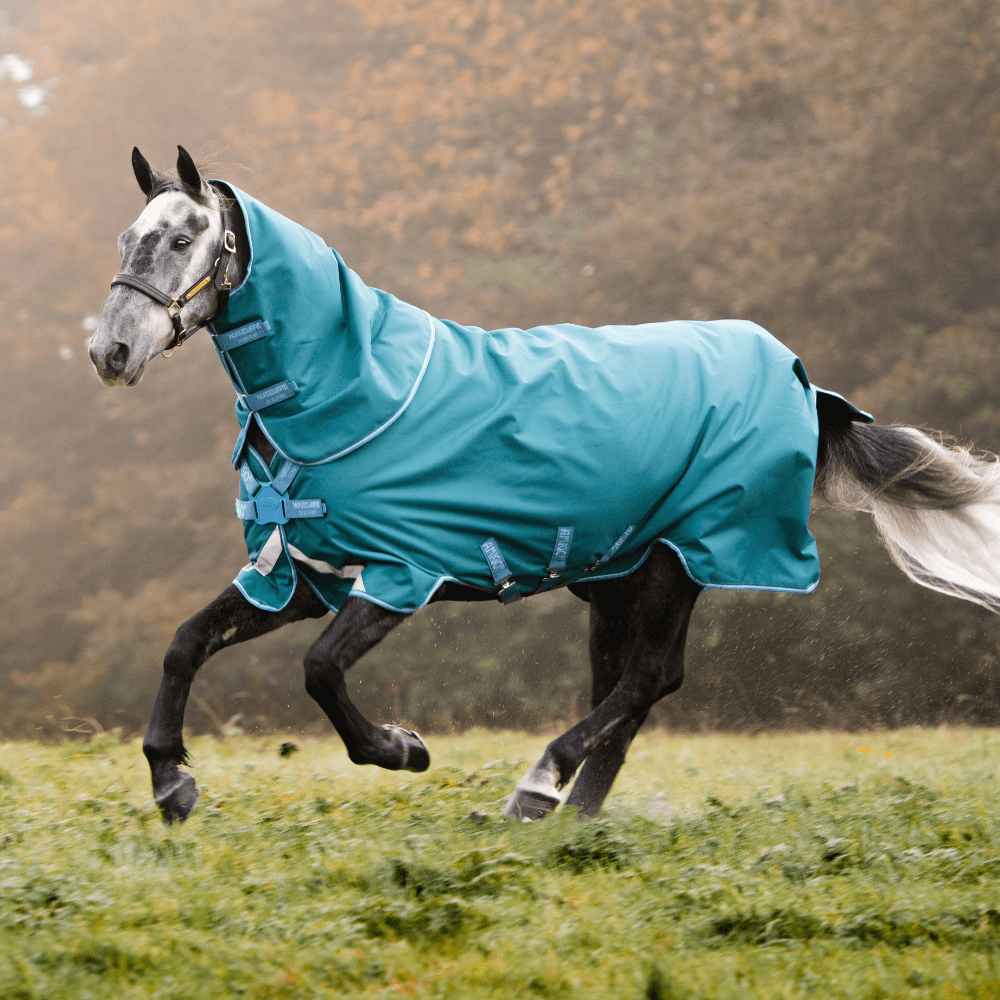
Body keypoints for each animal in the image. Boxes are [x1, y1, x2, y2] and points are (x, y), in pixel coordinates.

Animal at [89, 146, 1000, 826]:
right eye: (128, 238)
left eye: (184, 240)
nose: (111, 352)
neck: (352, 391)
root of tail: (805, 385)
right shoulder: (301, 575)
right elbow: (185, 643)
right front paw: (172, 784)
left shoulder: (401, 573)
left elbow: (319, 672)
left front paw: (403, 749)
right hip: (624, 575)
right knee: (629, 689)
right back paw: (572, 812)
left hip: (681, 560)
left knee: (647, 680)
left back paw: (539, 784)